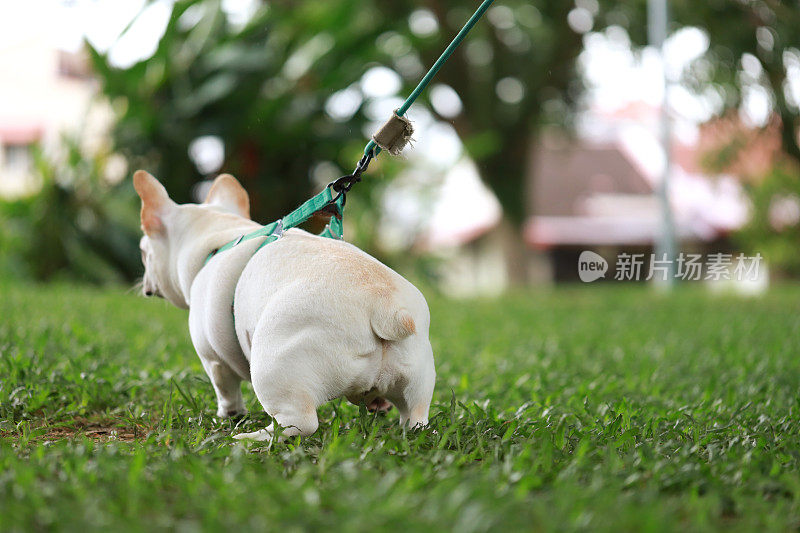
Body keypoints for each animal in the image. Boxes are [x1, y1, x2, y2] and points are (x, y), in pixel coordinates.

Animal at [136, 170, 438, 440]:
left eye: (142, 251)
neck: (220, 233)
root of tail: (384, 306)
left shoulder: (213, 359)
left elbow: (225, 389)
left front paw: (229, 415)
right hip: (418, 375)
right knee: (415, 417)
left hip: (274, 363)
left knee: (299, 423)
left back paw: (252, 437)